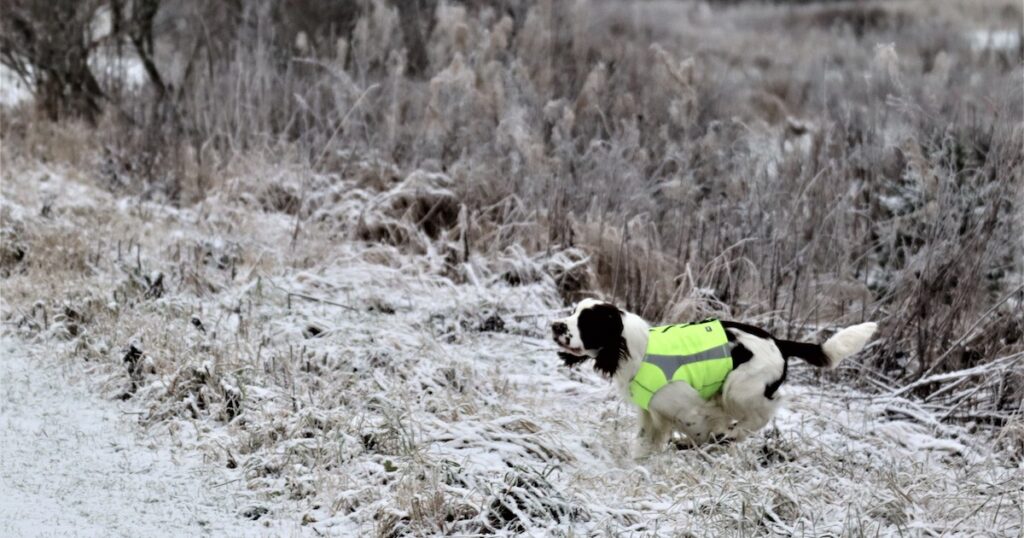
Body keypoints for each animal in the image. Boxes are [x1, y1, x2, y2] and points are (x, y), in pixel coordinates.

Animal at [548, 297, 876, 457]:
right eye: (573, 311)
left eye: (586, 322)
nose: (555, 325)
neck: (635, 349)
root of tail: (778, 342)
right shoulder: (651, 414)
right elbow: (644, 443)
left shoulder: (689, 408)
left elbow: (700, 431)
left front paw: (699, 445)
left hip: (738, 388)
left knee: (763, 413)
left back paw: (730, 436)